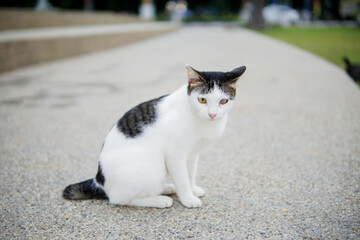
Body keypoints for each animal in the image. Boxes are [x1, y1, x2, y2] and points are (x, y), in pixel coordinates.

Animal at [63, 64, 246, 207]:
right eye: (202, 100)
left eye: (223, 101)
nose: (212, 114)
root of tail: (99, 180)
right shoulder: (175, 153)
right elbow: (182, 178)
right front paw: (188, 198)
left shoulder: (193, 153)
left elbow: (190, 173)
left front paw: (193, 189)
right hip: (151, 166)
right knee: (119, 199)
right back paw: (159, 200)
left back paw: (166, 188)